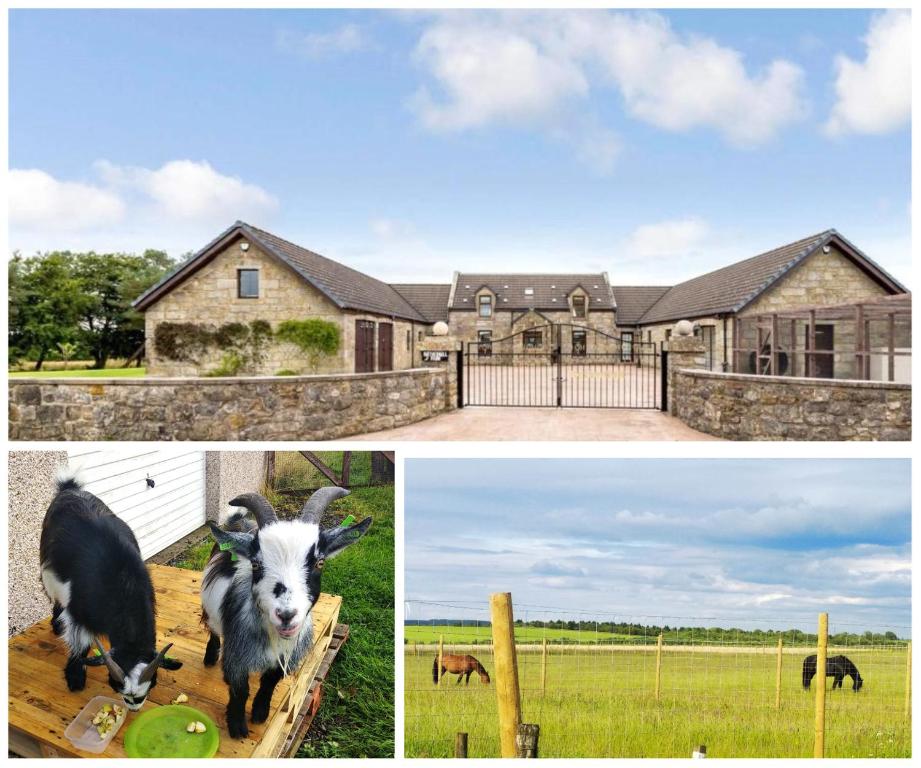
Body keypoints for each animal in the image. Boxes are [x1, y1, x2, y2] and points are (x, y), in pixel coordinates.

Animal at [39, 474, 181, 708]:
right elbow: (79, 643)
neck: (123, 579)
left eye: (152, 683)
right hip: (49, 574)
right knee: (56, 600)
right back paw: (56, 625)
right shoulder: (78, 612)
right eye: (115, 685)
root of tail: (69, 488)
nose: (134, 706)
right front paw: (75, 675)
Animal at [201, 486, 370, 736]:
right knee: (212, 629)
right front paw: (237, 726)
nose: (287, 615)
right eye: (256, 564)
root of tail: (242, 523)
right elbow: (240, 690)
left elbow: (269, 683)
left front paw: (260, 714)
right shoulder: (236, 655)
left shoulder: (285, 657)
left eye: (320, 562)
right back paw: (210, 657)